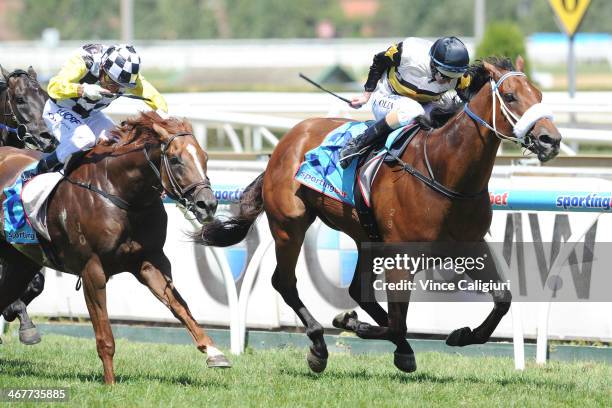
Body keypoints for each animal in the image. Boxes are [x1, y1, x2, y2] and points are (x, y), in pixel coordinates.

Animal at [0, 111, 230, 382]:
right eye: (175, 160)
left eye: (205, 157)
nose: (208, 204)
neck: (120, 192)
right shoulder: (92, 269)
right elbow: (104, 335)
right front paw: (110, 383)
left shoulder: (149, 261)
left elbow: (180, 307)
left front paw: (214, 352)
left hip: (20, 260)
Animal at [191, 57, 560, 372]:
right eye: (510, 96)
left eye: (540, 95)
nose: (550, 139)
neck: (444, 171)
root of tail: (286, 141)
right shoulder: (402, 258)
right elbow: (398, 322)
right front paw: (349, 323)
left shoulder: (468, 247)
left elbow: (502, 299)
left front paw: (462, 335)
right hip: (289, 225)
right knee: (285, 282)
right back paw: (319, 346)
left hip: (365, 237)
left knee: (358, 290)